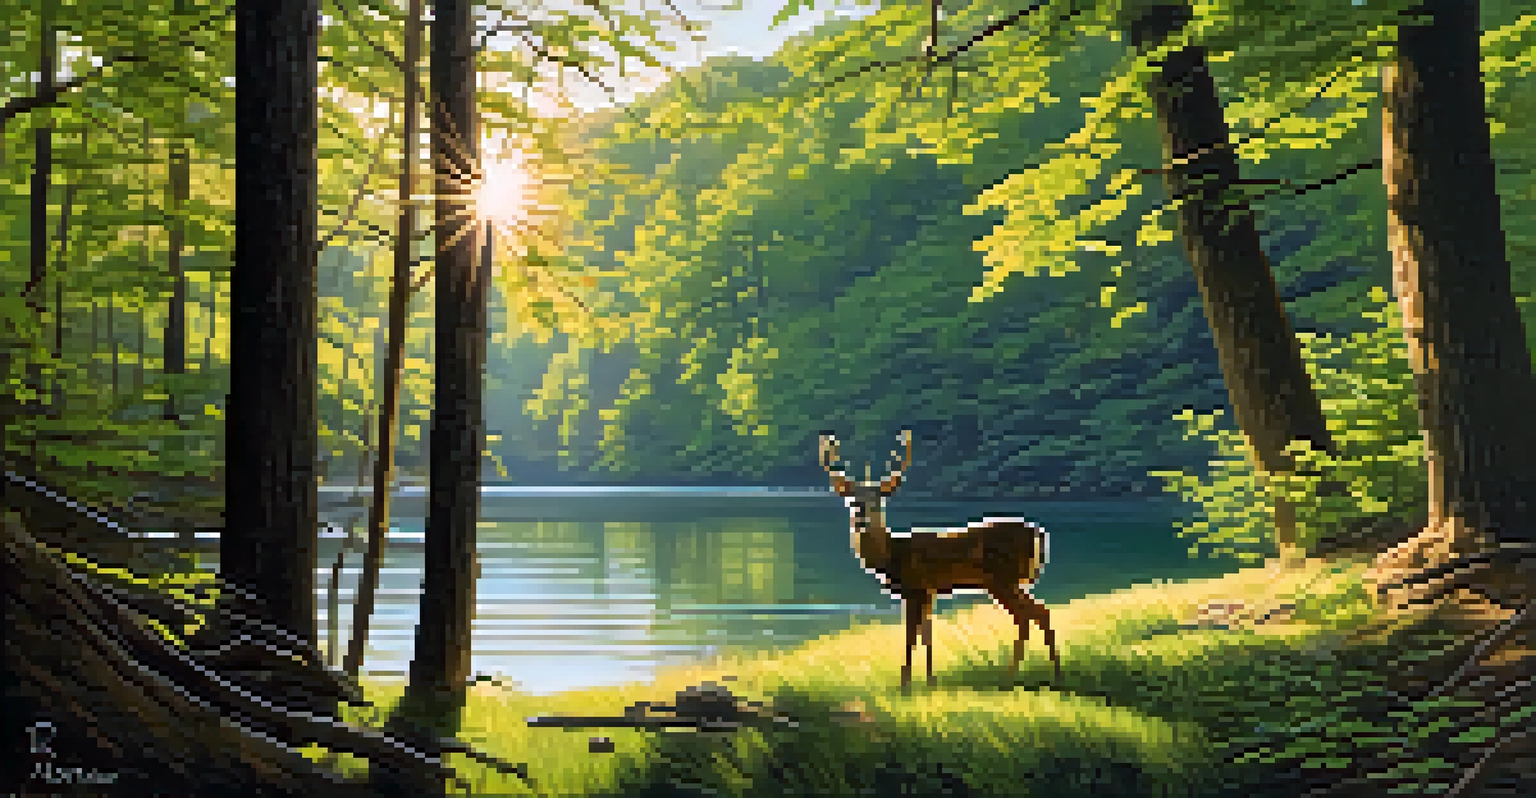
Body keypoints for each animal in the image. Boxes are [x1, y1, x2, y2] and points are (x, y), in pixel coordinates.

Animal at [819, 430, 1061, 693]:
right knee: (1040, 612)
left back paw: (1012, 678)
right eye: (853, 501)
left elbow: (910, 638)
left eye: (877, 502)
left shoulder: (915, 589)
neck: (892, 555)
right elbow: (927, 635)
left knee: (1027, 616)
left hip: (1002, 579)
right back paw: (1053, 674)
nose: (861, 520)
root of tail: (1037, 533)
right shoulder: (929, 592)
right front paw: (930, 681)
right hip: (1010, 581)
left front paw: (905, 685)